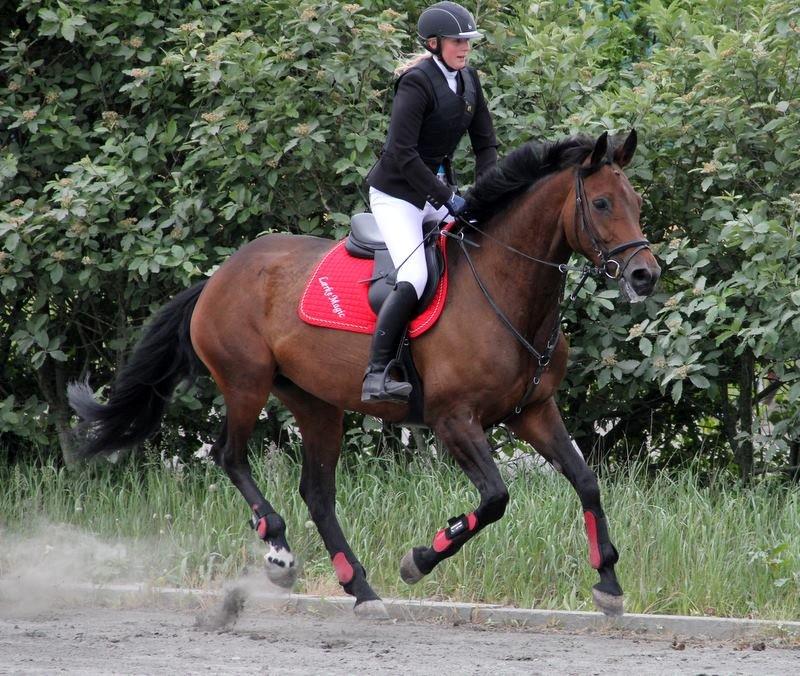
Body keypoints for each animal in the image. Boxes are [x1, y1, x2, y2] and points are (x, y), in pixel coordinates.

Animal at [69, 131, 660, 616]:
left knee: (316, 493)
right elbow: (495, 498)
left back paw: (360, 587)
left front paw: (608, 582)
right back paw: (279, 553)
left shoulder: (532, 411)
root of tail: (220, 275)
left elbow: (585, 481)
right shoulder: (453, 420)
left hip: (315, 403)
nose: (644, 274)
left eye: (636, 202)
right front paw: (421, 558)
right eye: (602, 203)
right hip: (245, 384)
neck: (504, 287)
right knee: (230, 456)